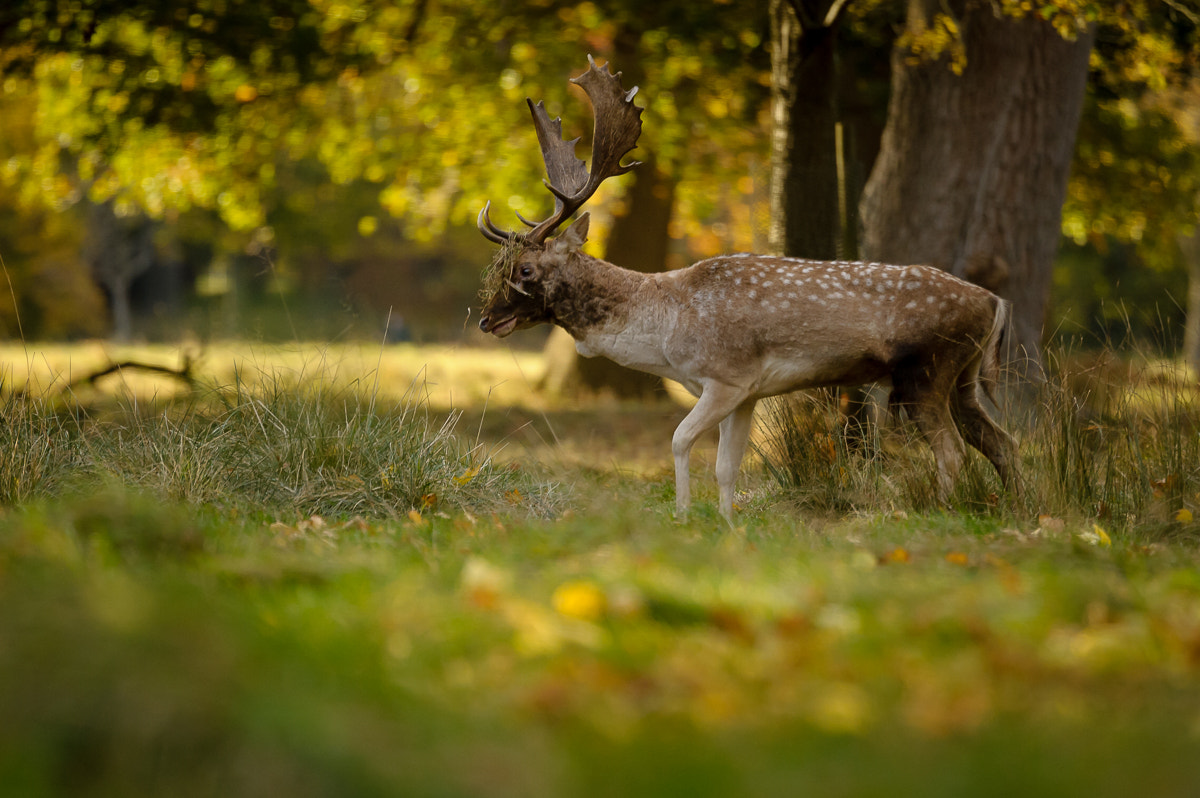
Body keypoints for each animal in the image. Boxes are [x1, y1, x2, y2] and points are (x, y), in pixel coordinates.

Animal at [476, 56, 1021, 521]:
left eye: (525, 271)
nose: (486, 319)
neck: (664, 332)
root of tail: (995, 302)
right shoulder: (747, 393)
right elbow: (726, 465)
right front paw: (727, 523)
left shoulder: (727, 375)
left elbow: (679, 440)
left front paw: (682, 516)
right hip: (963, 376)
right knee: (1003, 442)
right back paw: (1019, 510)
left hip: (927, 370)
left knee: (952, 449)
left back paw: (940, 512)